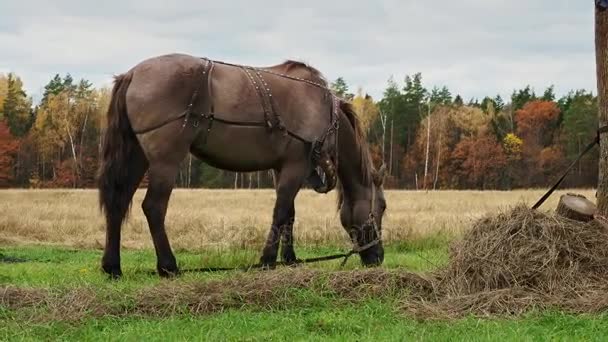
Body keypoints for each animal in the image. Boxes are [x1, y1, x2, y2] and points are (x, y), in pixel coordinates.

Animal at [97, 54, 388, 278]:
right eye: (382, 208)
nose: (378, 256)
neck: (323, 109)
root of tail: (132, 74)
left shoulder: (282, 168)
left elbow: (289, 215)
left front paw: (290, 258)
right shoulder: (296, 166)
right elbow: (280, 212)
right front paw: (267, 259)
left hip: (137, 157)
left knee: (117, 203)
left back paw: (113, 267)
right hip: (165, 161)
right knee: (154, 207)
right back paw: (168, 266)